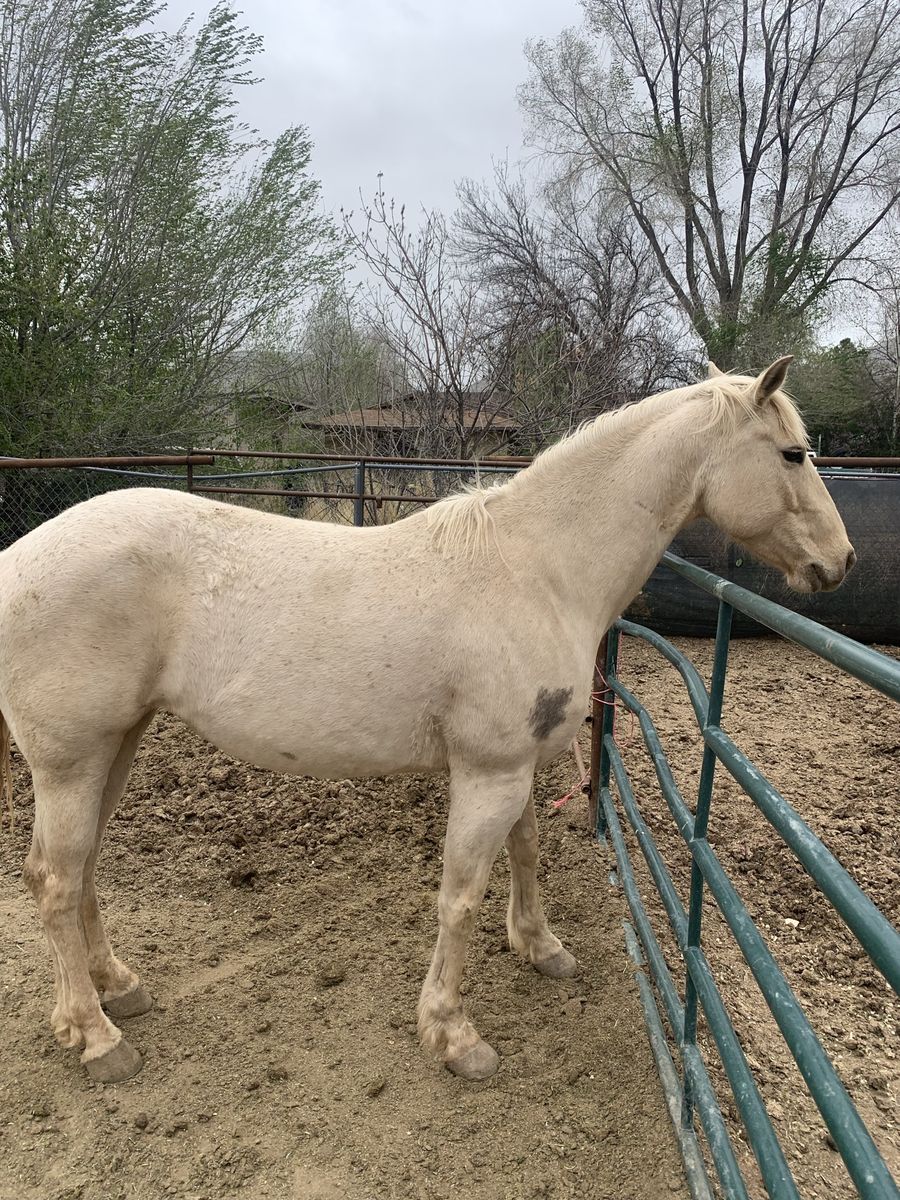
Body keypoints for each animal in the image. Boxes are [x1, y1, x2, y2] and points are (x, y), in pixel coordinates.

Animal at [0, 356, 855, 1085]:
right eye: (792, 454)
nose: (841, 562)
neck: (538, 570)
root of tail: (19, 560)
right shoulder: (488, 773)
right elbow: (460, 895)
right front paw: (453, 1034)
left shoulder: (519, 766)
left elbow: (527, 853)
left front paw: (540, 947)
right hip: (72, 759)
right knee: (54, 879)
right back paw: (97, 1037)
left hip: (118, 743)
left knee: (81, 869)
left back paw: (116, 988)